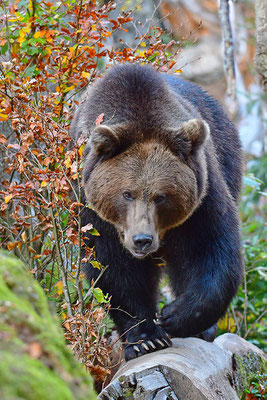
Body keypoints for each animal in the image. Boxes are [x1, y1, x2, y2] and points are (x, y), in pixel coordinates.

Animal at [70, 64, 244, 360]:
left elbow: (211, 249)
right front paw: (146, 338)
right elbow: (113, 268)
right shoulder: (95, 214)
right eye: (126, 193)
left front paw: (174, 315)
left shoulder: (202, 197)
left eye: (162, 196)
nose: (142, 240)